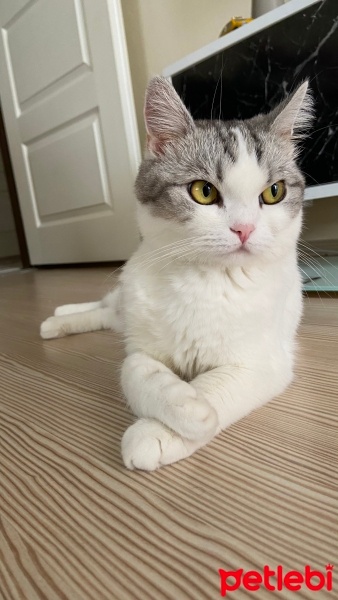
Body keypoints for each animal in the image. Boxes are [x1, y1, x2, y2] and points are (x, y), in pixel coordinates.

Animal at [41, 78, 312, 474]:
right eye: (204, 191)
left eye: (274, 192)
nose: (244, 229)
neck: (207, 279)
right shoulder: (141, 344)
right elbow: (133, 368)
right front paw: (182, 405)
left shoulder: (265, 362)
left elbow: (216, 385)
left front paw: (161, 429)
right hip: (127, 300)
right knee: (108, 306)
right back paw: (59, 317)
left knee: (108, 314)